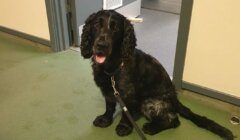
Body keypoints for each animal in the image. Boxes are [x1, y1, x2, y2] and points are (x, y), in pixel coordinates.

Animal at [79, 10, 233, 140]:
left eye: (115, 28)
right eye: (96, 25)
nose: (101, 45)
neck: (112, 67)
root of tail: (175, 100)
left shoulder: (128, 95)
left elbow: (126, 113)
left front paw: (124, 127)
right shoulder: (108, 91)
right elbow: (109, 107)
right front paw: (105, 120)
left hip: (149, 102)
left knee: (174, 120)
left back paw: (152, 128)